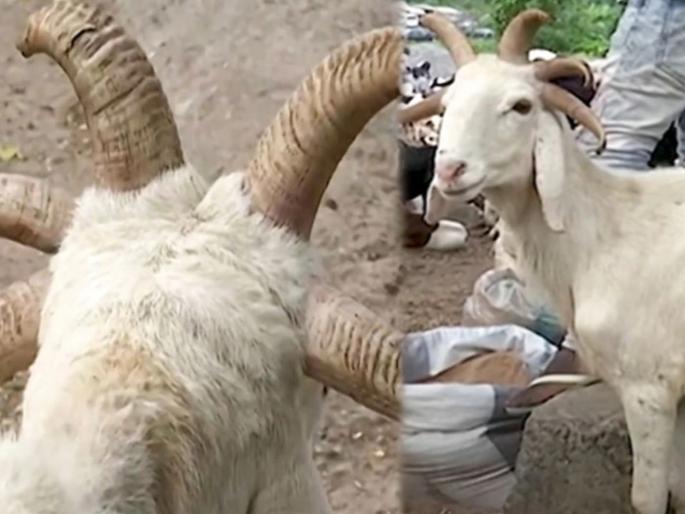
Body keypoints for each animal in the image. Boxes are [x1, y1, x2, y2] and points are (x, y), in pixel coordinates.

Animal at [403, 9, 685, 514]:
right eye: (448, 103)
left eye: (521, 106)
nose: (451, 170)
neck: (603, 233)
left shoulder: (648, 389)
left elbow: (647, 496)